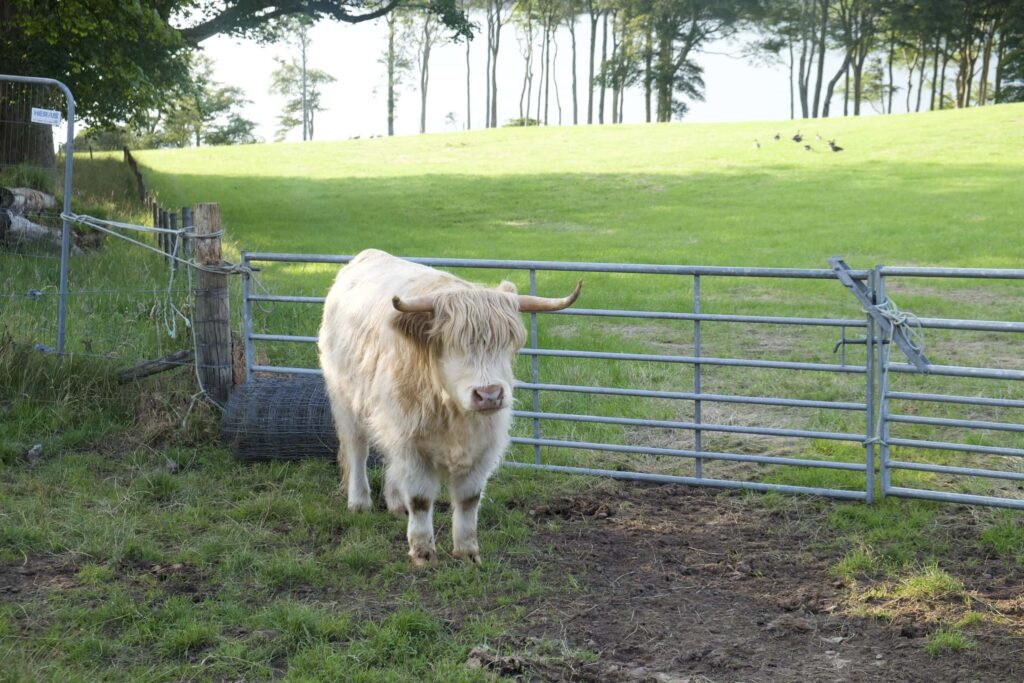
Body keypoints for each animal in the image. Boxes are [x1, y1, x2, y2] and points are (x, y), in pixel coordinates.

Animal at [315, 250, 581, 565]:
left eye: (506, 344)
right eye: (453, 345)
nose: (489, 395)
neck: (454, 414)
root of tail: (366, 255)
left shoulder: (484, 445)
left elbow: (468, 500)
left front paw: (467, 552)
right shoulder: (410, 441)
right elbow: (420, 499)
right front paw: (423, 553)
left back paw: (396, 503)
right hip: (346, 400)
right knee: (357, 449)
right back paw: (359, 502)